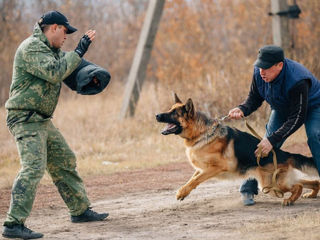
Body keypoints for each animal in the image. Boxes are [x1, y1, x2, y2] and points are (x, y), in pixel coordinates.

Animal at [156, 93, 320, 205]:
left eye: (174, 113)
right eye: (170, 110)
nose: (157, 115)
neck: (201, 133)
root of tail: (283, 153)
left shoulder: (215, 168)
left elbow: (195, 180)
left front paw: (182, 192)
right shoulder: (201, 169)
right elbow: (192, 179)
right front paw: (183, 192)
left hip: (271, 185)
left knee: (298, 185)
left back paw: (290, 200)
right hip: (274, 183)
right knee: (309, 182)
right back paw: (312, 194)